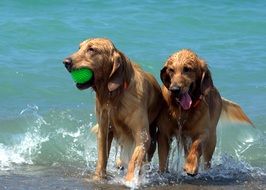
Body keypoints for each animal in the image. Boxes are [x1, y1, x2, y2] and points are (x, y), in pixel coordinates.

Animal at [62, 37, 163, 182]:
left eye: (91, 49)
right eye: (79, 48)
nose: (66, 62)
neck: (114, 95)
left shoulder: (142, 136)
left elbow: (134, 160)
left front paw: (130, 181)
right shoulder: (104, 128)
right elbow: (102, 157)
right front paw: (98, 177)